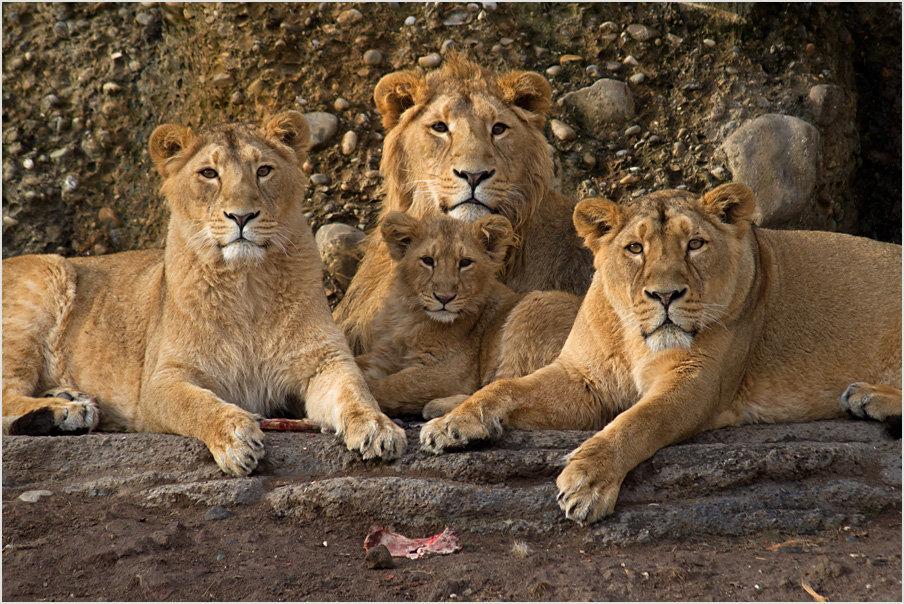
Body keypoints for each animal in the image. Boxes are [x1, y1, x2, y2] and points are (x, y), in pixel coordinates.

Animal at [0, 111, 402, 474]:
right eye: (209, 173)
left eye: (264, 170)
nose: (242, 216)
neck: (246, 286)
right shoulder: (161, 381)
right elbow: (198, 405)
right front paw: (235, 436)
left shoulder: (325, 360)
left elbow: (355, 391)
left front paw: (378, 427)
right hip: (47, 274)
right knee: (5, 396)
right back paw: (69, 411)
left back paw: (68, 400)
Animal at [420, 183, 900, 524]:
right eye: (635, 248)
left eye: (695, 244)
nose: (665, 295)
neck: (636, 339)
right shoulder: (584, 380)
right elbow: (505, 386)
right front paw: (455, 423)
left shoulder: (697, 384)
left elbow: (638, 422)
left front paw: (588, 482)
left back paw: (868, 397)